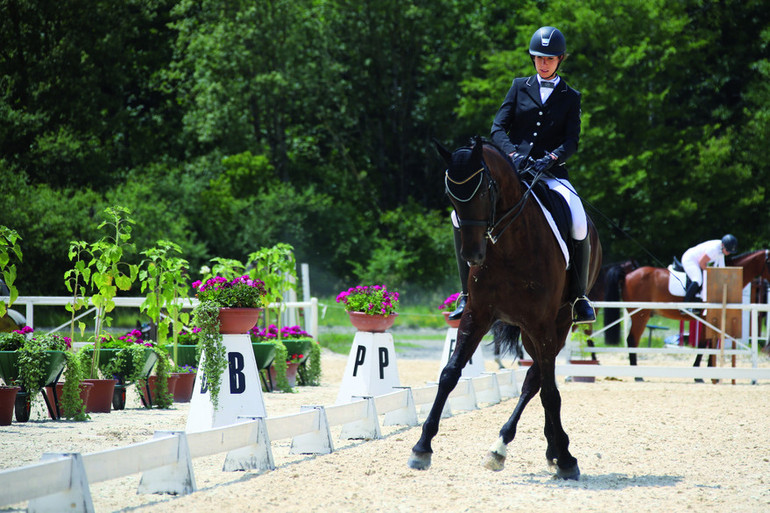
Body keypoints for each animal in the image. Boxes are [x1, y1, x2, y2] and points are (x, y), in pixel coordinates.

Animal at [408, 137, 600, 480]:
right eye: (450, 195)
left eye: (485, 191)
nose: (472, 254)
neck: (510, 245)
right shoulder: (478, 314)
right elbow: (450, 374)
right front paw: (422, 447)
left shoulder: (542, 322)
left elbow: (550, 391)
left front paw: (567, 459)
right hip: (528, 331)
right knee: (536, 376)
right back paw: (537, 449)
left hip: (559, 322)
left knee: (537, 380)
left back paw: (540, 449)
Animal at [604, 247, 768, 364]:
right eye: (769, 263)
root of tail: (628, 274)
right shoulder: (707, 319)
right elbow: (704, 344)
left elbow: (710, 345)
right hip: (640, 314)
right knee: (632, 340)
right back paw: (638, 375)